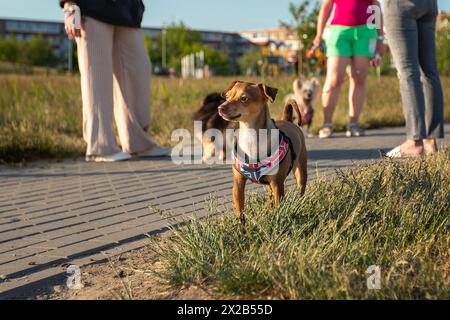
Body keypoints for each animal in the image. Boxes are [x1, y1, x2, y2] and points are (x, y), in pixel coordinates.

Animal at [217, 81, 308, 224]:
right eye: (226, 97)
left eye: (244, 98)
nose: (221, 107)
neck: (250, 137)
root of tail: (287, 120)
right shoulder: (238, 184)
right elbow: (240, 212)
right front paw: (241, 229)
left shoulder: (277, 184)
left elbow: (279, 207)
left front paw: (278, 221)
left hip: (300, 172)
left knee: (300, 189)